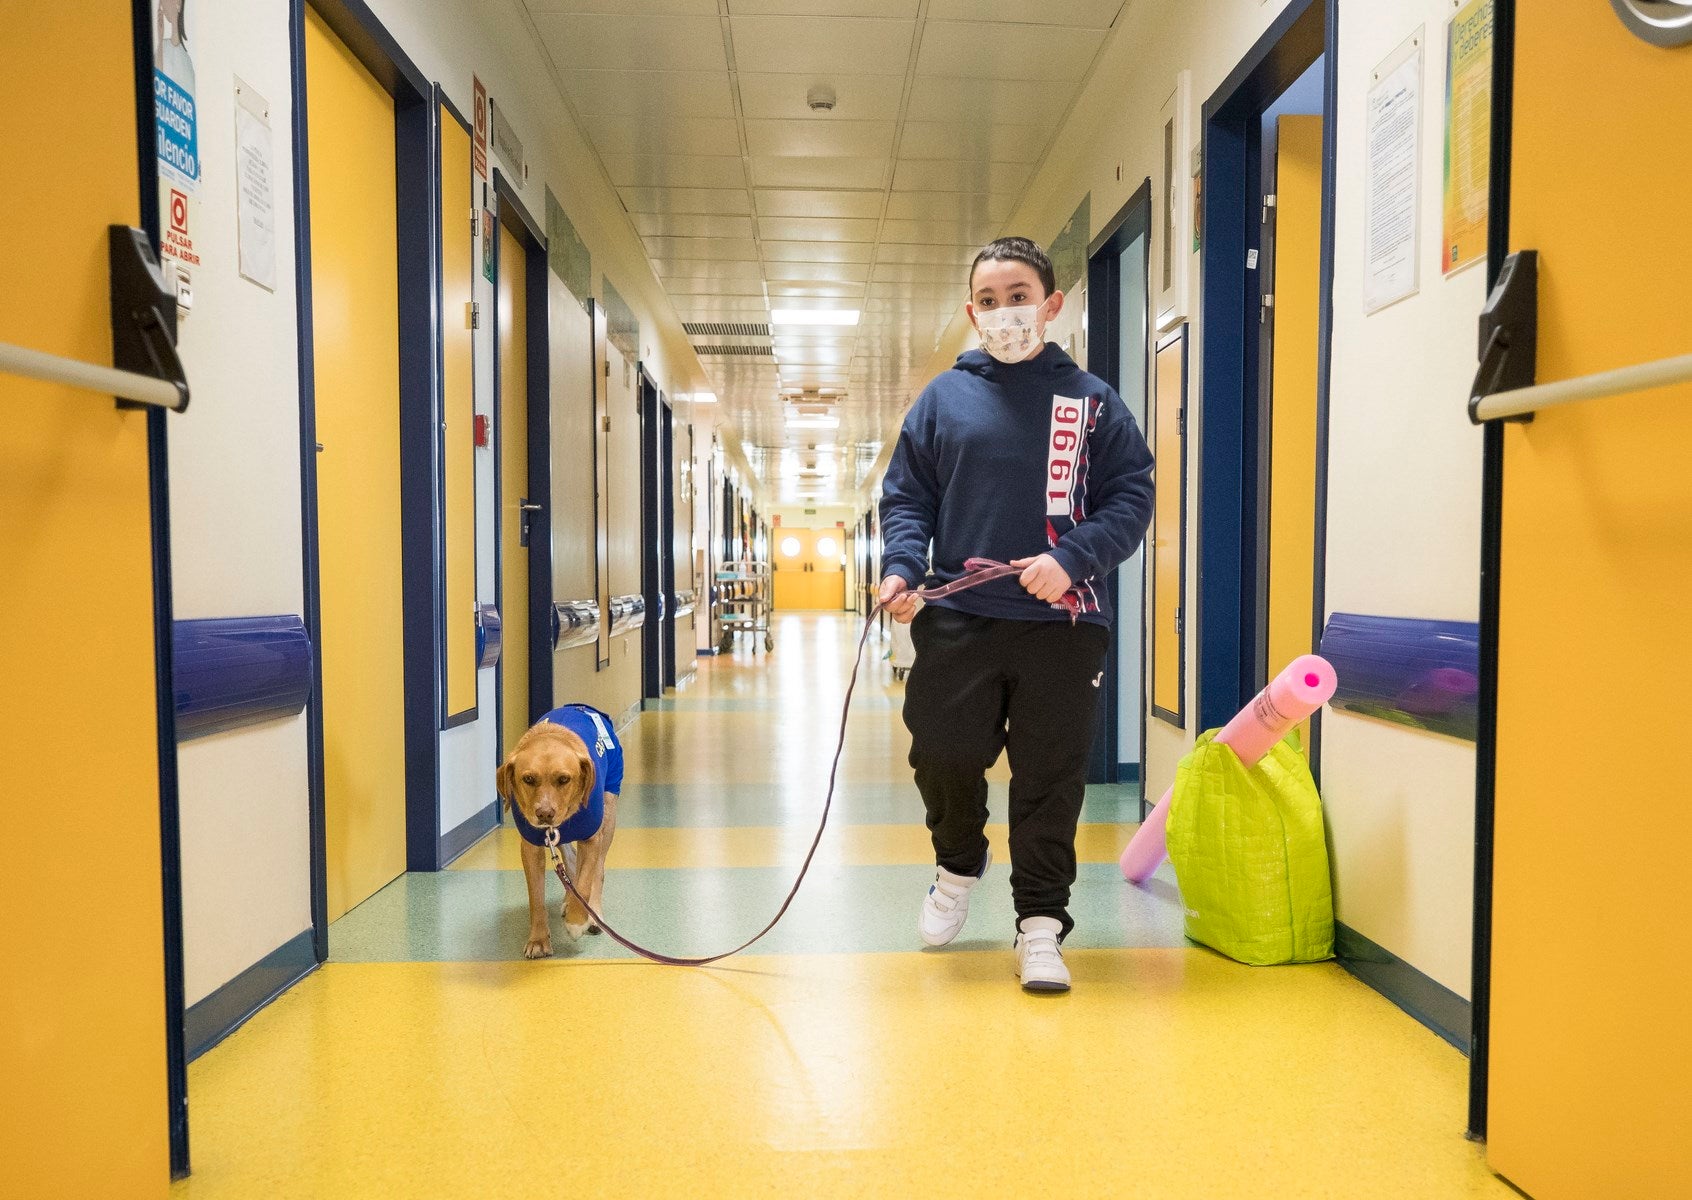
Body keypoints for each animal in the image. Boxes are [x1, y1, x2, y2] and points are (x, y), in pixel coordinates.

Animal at [494, 700, 626, 954]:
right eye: (528, 779)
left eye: (564, 779)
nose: (545, 814)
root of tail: (579, 706)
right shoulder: (531, 848)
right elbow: (536, 898)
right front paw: (538, 939)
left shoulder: (591, 838)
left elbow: (585, 882)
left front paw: (577, 922)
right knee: (571, 860)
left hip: (609, 812)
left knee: (597, 871)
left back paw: (593, 913)